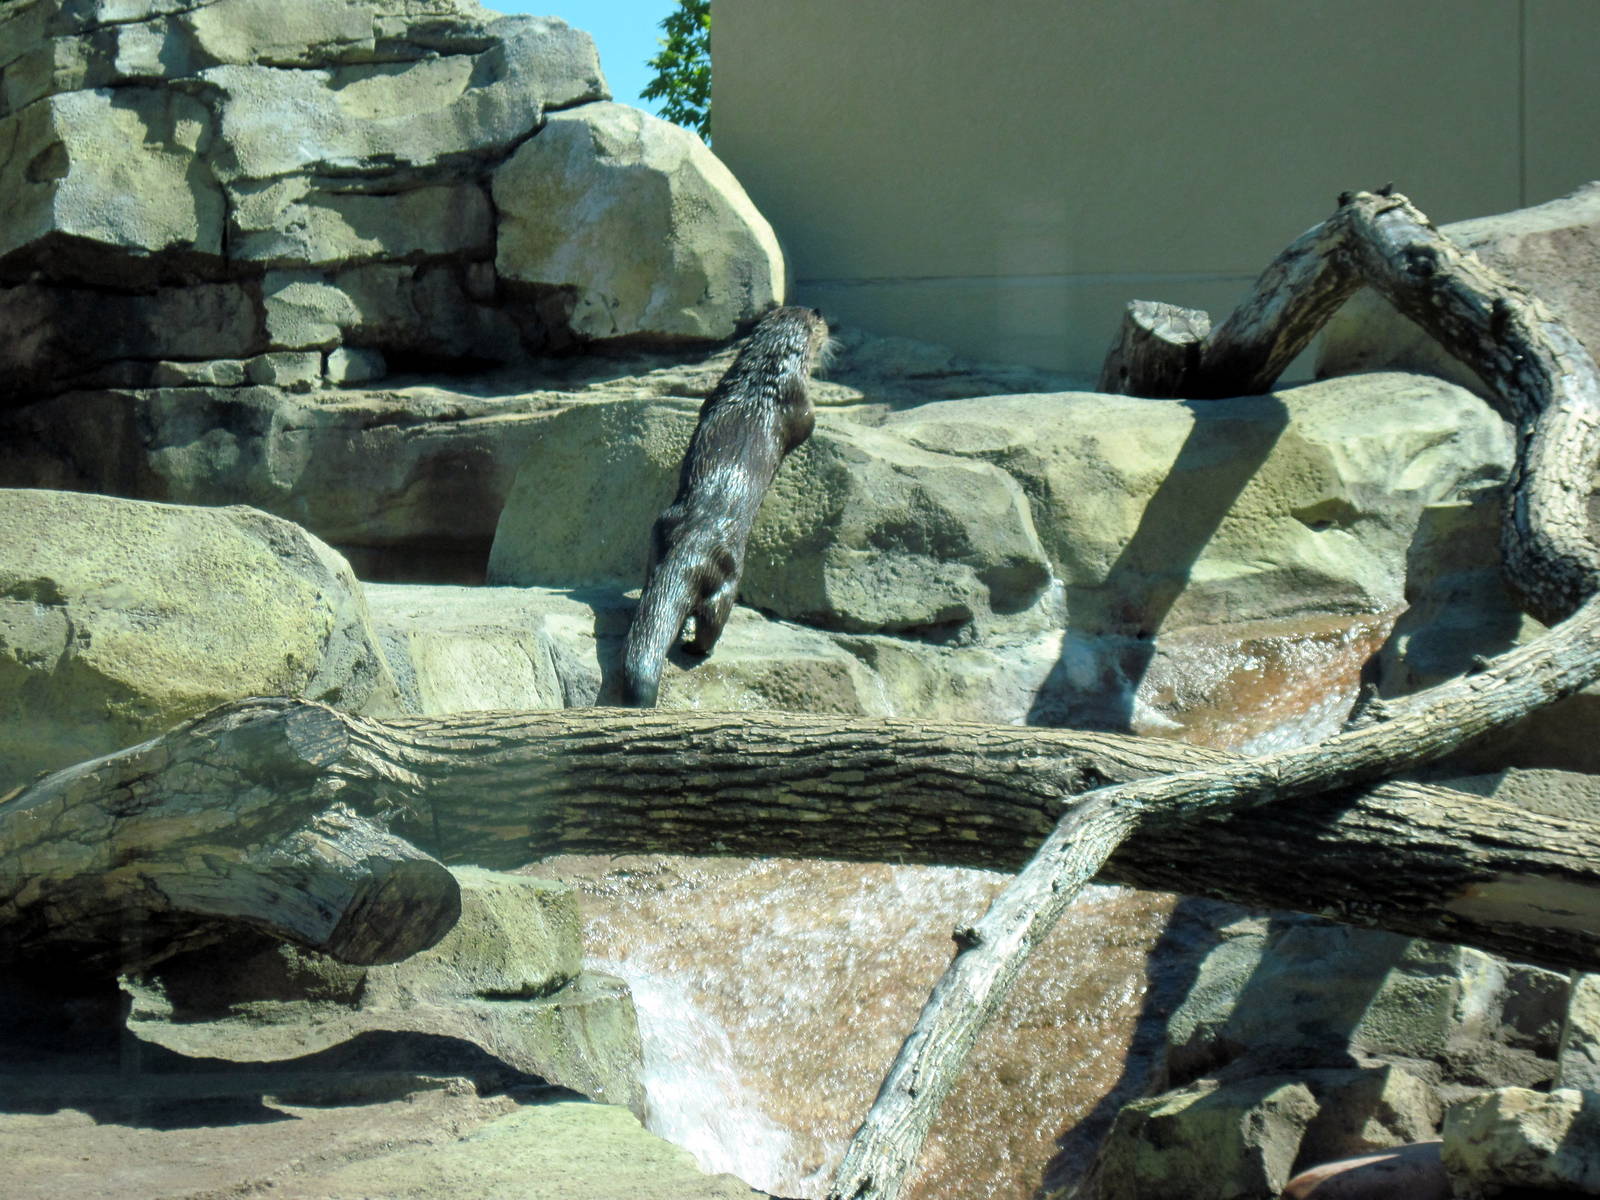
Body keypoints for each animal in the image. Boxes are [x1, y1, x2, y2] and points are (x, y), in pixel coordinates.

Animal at [621, 305, 830, 707]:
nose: (829, 328)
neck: (765, 371)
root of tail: (694, 543)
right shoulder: (802, 405)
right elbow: (809, 426)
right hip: (731, 573)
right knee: (714, 616)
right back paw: (696, 648)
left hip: (659, 531)